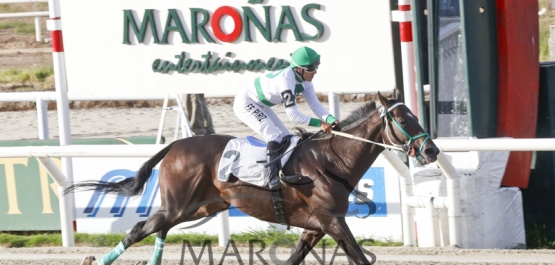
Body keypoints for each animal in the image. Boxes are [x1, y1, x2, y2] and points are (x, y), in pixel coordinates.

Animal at [68, 91, 438, 264]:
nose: (432, 151)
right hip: (179, 205)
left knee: (159, 229)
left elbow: (295, 258)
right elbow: (359, 257)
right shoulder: (332, 221)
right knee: (140, 229)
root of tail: (175, 145)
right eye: (403, 119)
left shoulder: (316, 226)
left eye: (414, 115)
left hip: (200, 207)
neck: (332, 159)